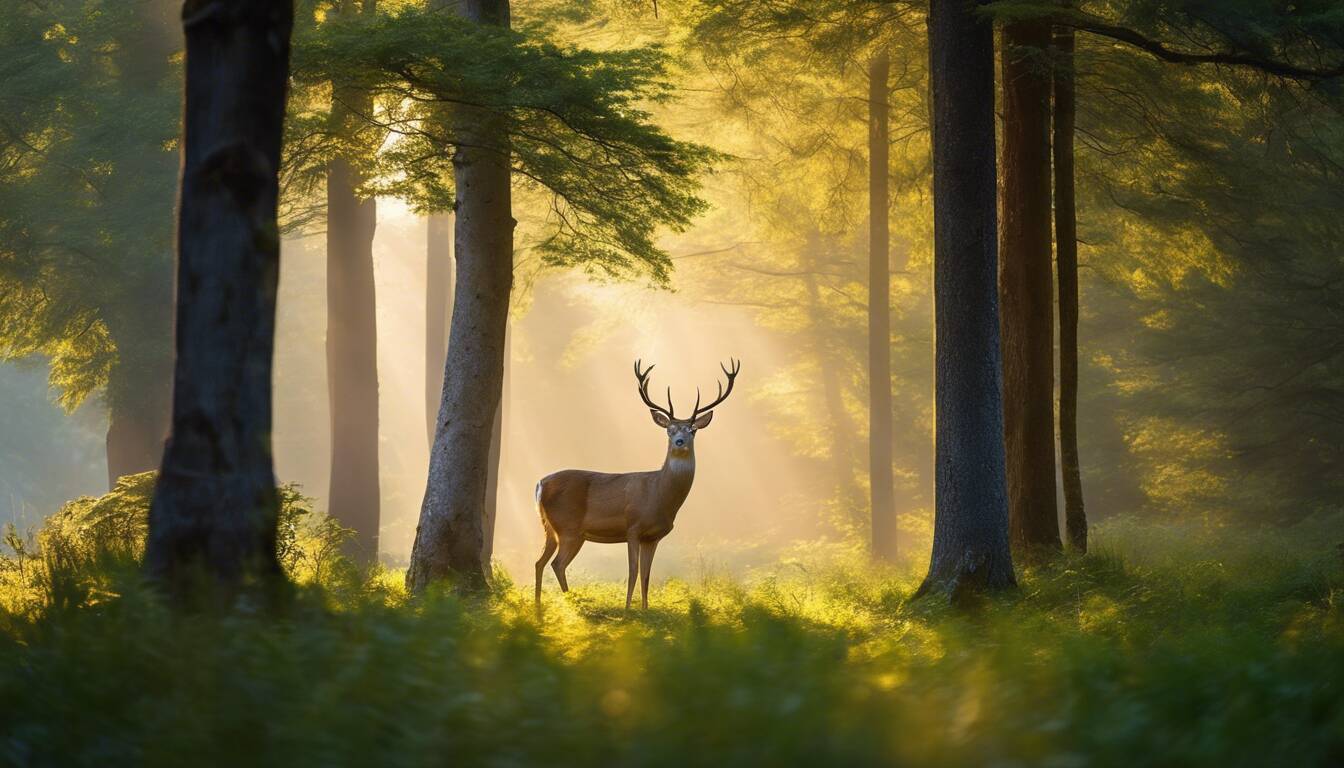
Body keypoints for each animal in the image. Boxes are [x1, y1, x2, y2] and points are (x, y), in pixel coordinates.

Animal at [534, 358, 741, 609]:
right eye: (669, 430)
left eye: (693, 430)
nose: (679, 441)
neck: (659, 495)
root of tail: (540, 484)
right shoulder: (632, 527)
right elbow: (633, 571)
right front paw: (627, 609)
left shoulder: (653, 536)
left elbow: (646, 575)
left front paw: (645, 608)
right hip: (569, 527)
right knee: (558, 564)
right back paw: (573, 604)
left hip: (550, 527)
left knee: (539, 562)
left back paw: (538, 606)